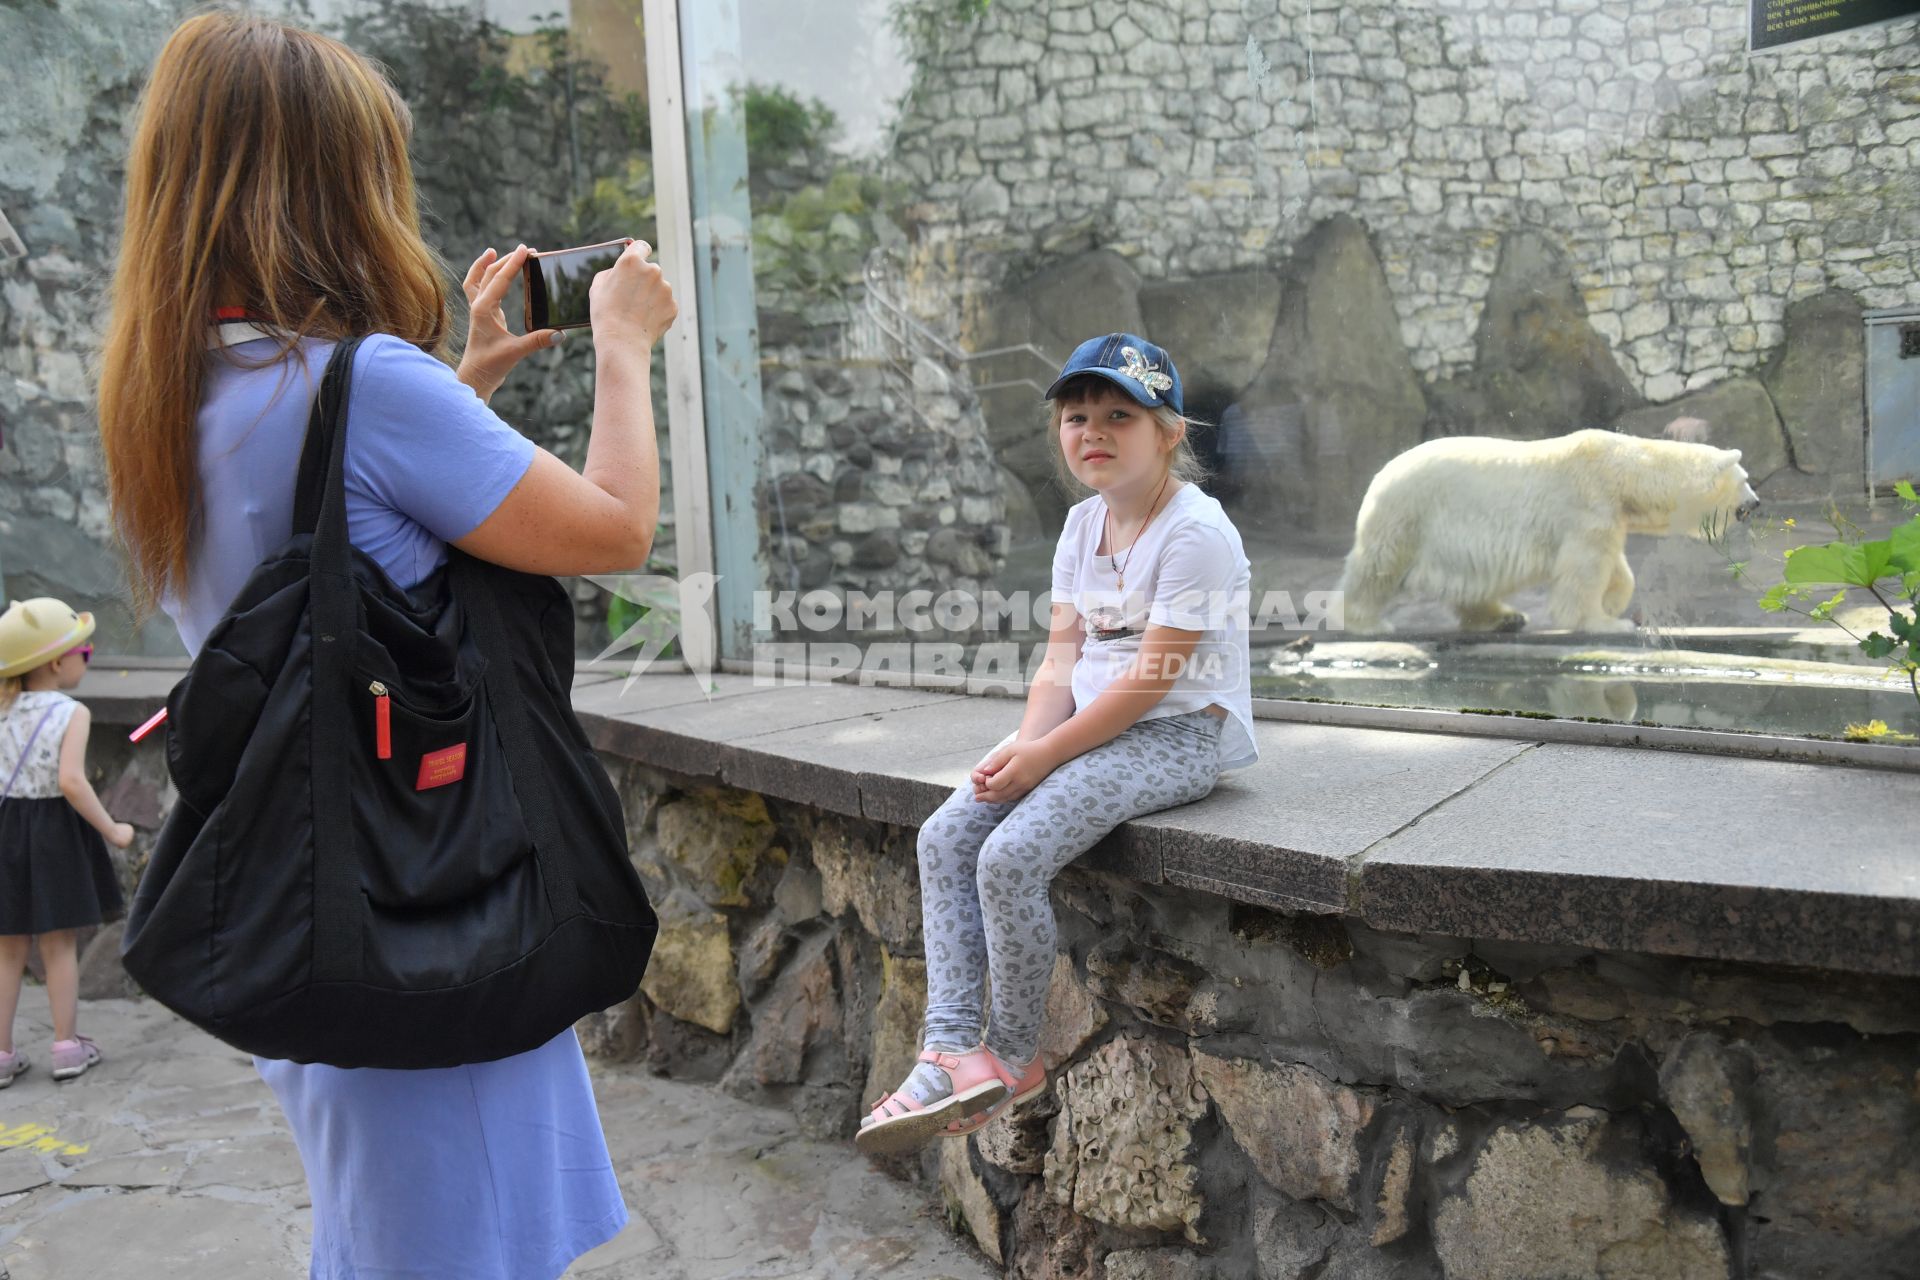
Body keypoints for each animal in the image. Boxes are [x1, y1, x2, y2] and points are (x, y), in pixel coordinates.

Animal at [1336, 427, 1758, 633]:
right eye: (1746, 479)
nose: (1756, 504)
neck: (1623, 471)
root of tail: (1380, 476)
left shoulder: (1607, 514)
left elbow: (1615, 566)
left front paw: (1613, 602)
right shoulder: (1587, 504)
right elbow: (1585, 569)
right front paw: (1608, 622)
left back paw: (1505, 617)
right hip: (1409, 514)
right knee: (1378, 567)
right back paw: (1367, 622)